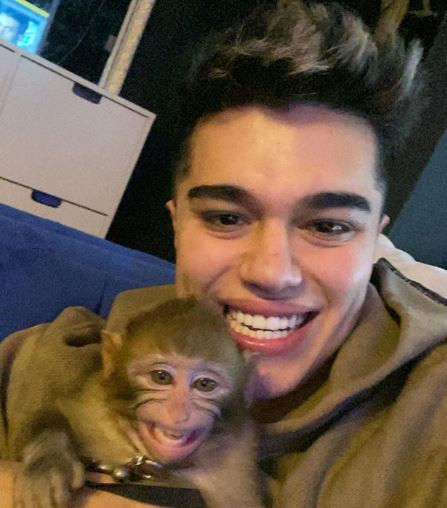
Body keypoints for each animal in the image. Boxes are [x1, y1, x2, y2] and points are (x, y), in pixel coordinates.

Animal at [6, 297, 262, 508]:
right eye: (161, 377)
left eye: (205, 384)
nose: (179, 413)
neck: (151, 462)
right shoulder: (92, 408)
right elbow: (52, 413)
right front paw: (49, 461)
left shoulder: (234, 464)